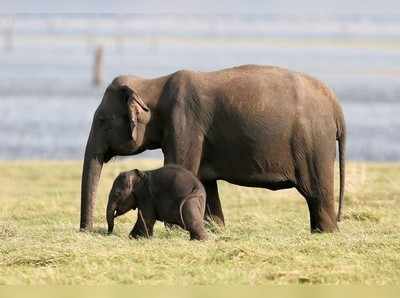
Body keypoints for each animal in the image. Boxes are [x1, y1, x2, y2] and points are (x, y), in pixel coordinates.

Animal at [79, 64, 346, 233]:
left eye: (102, 120)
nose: (87, 231)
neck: (153, 83)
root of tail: (336, 105)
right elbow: (203, 180)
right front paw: (215, 228)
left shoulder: (184, 124)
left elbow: (181, 168)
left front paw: (174, 231)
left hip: (314, 144)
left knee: (316, 193)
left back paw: (325, 232)